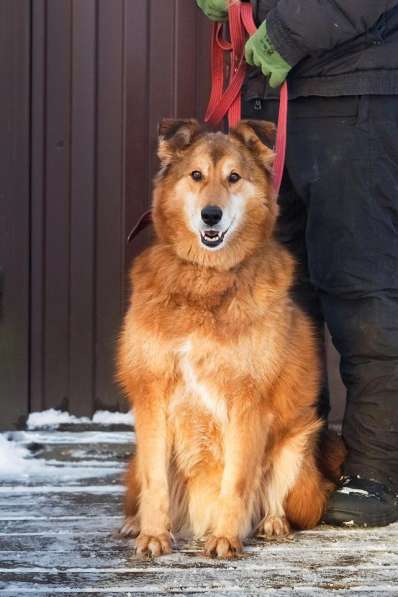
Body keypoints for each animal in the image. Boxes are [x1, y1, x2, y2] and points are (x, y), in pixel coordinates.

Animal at [116, 117, 344, 560]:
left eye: (234, 178)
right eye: (196, 175)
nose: (211, 215)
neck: (205, 279)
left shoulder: (247, 399)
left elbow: (237, 479)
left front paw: (225, 537)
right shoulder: (151, 393)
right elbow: (156, 481)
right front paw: (152, 535)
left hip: (297, 442)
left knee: (274, 495)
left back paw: (271, 523)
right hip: (135, 459)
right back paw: (135, 523)